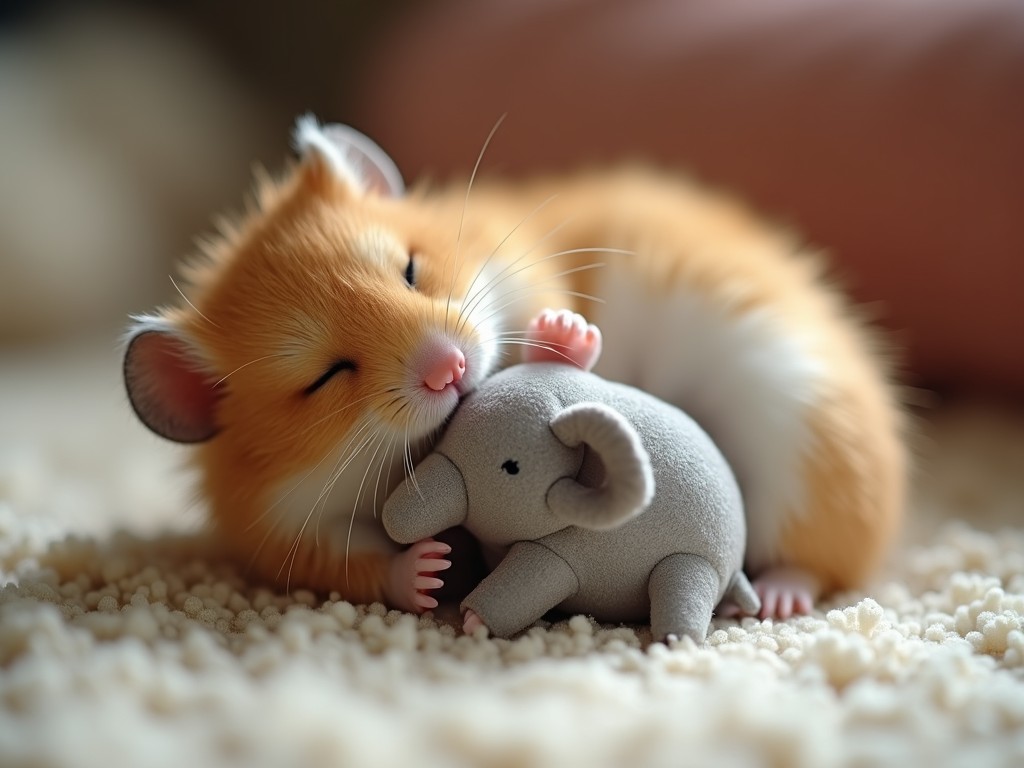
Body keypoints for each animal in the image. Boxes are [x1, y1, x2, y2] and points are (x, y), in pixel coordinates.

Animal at [121, 118, 905, 618]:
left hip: (792, 428)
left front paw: (565, 331)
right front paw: (429, 570)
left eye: (410, 269)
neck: (388, 456)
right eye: (324, 376)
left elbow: (559, 340)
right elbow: (362, 564)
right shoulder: (284, 532)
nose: (450, 369)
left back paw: (777, 597)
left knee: (823, 559)